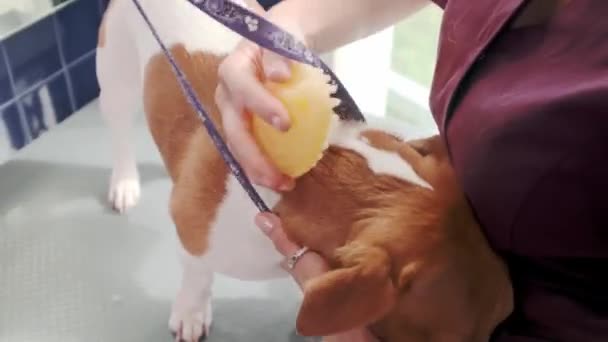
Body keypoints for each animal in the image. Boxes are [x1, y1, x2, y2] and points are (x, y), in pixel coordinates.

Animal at [96, 1, 512, 340]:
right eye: (460, 338)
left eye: (502, 319)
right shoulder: (194, 236)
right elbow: (196, 275)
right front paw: (191, 312)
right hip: (116, 77)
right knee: (119, 131)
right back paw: (125, 182)